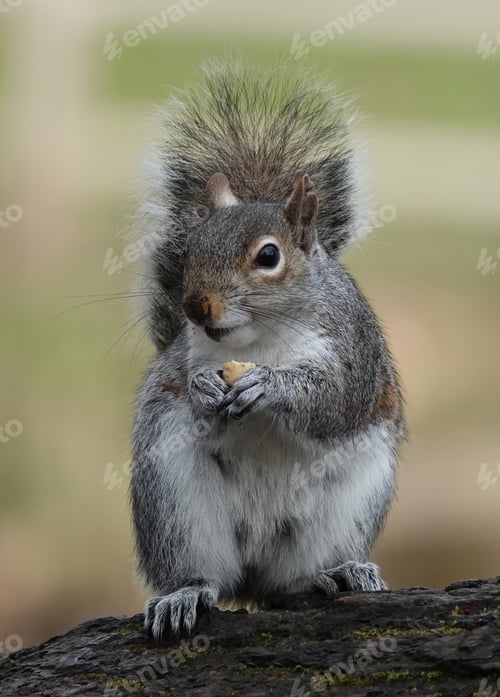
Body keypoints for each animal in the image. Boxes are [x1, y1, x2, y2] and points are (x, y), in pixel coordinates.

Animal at [129, 62, 406, 643]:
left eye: (269, 256)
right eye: (191, 248)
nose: (193, 306)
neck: (258, 337)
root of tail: (251, 573)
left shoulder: (354, 349)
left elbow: (335, 401)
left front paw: (267, 385)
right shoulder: (187, 356)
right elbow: (184, 383)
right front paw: (203, 389)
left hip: (348, 504)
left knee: (288, 583)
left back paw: (338, 573)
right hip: (177, 507)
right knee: (204, 574)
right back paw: (184, 595)